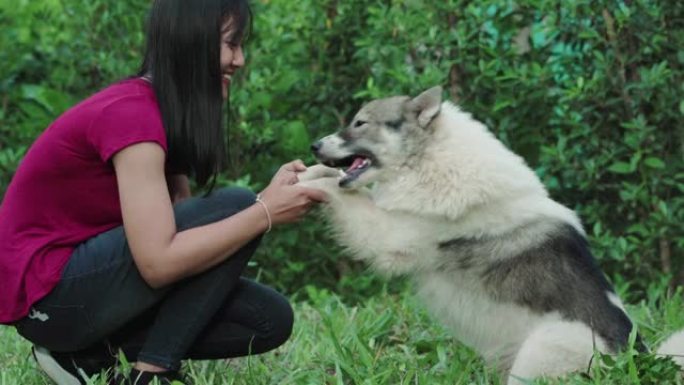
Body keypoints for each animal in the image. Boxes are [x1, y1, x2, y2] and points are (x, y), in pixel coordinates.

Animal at [298, 85, 684, 382]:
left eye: (360, 123)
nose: (314, 145)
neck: (429, 160)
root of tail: (639, 360)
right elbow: (333, 179)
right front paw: (305, 172)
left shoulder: (391, 234)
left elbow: (338, 191)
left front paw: (302, 183)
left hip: (541, 352)